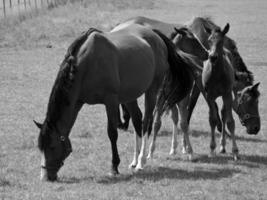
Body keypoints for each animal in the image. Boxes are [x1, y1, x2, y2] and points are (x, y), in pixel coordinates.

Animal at [33, 23, 194, 181]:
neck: (88, 64)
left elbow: (112, 133)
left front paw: (114, 167)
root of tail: (155, 35)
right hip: (129, 96)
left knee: (146, 122)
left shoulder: (110, 101)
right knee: (137, 121)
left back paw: (142, 161)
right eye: (40, 147)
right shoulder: (77, 102)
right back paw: (135, 160)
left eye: (52, 147)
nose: (45, 177)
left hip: (153, 90)